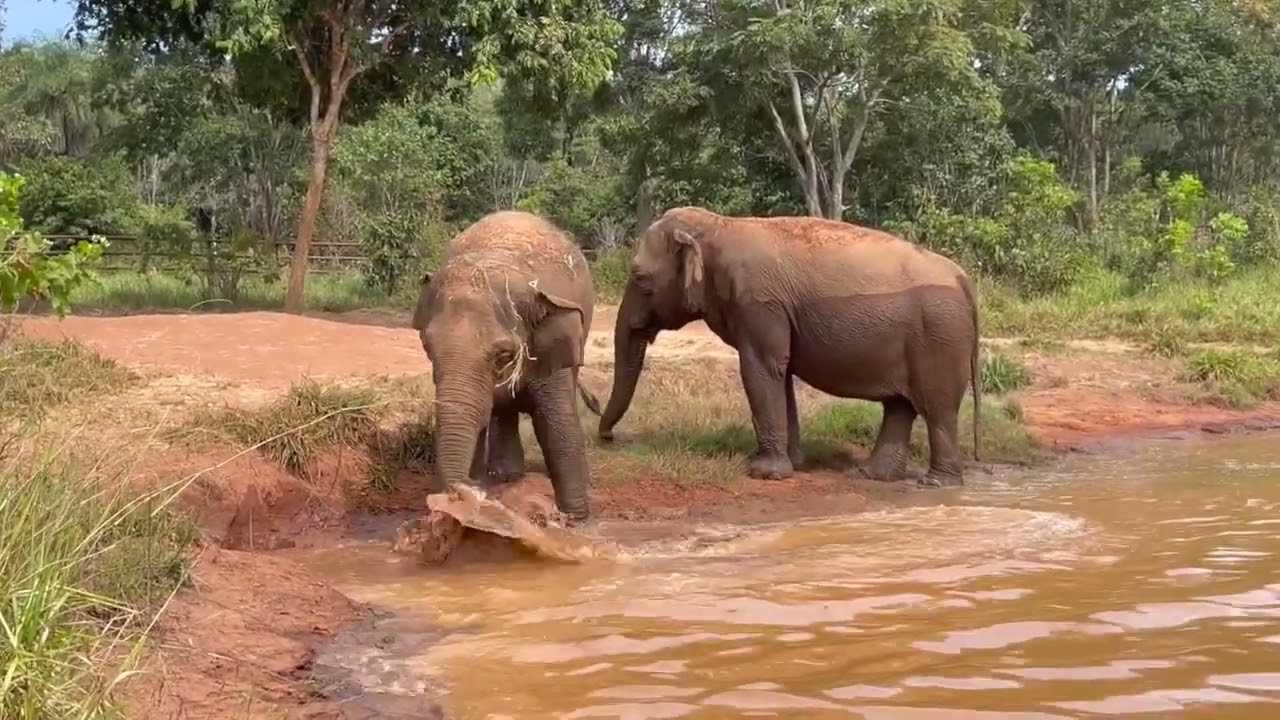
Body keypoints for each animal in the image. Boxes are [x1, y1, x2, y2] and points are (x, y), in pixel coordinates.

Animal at [412, 210, 602, 521]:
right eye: (427, 347)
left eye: (502, 354)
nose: (462, 492)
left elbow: (557, 426)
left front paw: (576, 518)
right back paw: (506, 476)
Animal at [597, 206, 982, 488]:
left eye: (639, 278)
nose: (607, 437)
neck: (719, 225)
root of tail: (963, 279)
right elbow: (779, 376)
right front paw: (793, 463)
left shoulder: (760, 304)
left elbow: (760, 369)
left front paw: (765, 474)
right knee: (900, 406)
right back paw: (875, 476)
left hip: (940, 336)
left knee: (937, 408)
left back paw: (936, 483)